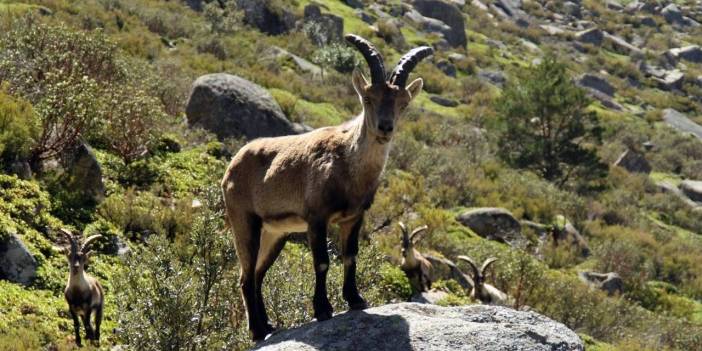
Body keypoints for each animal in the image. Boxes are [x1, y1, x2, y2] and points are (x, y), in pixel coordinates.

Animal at [221, 35, 434, 340]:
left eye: (403, 103)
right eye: (368, 98)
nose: (385, 127)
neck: (348, 164)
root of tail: (232, 164)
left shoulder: (353, 218)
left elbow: (350, 256)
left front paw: (356, 300)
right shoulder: (317, 217)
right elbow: (321, 262)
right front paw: (322, 310)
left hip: (275, 233)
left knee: (259, 274)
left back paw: (268, 325)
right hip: (244, 221)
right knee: (246, 276)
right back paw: (257, 331)